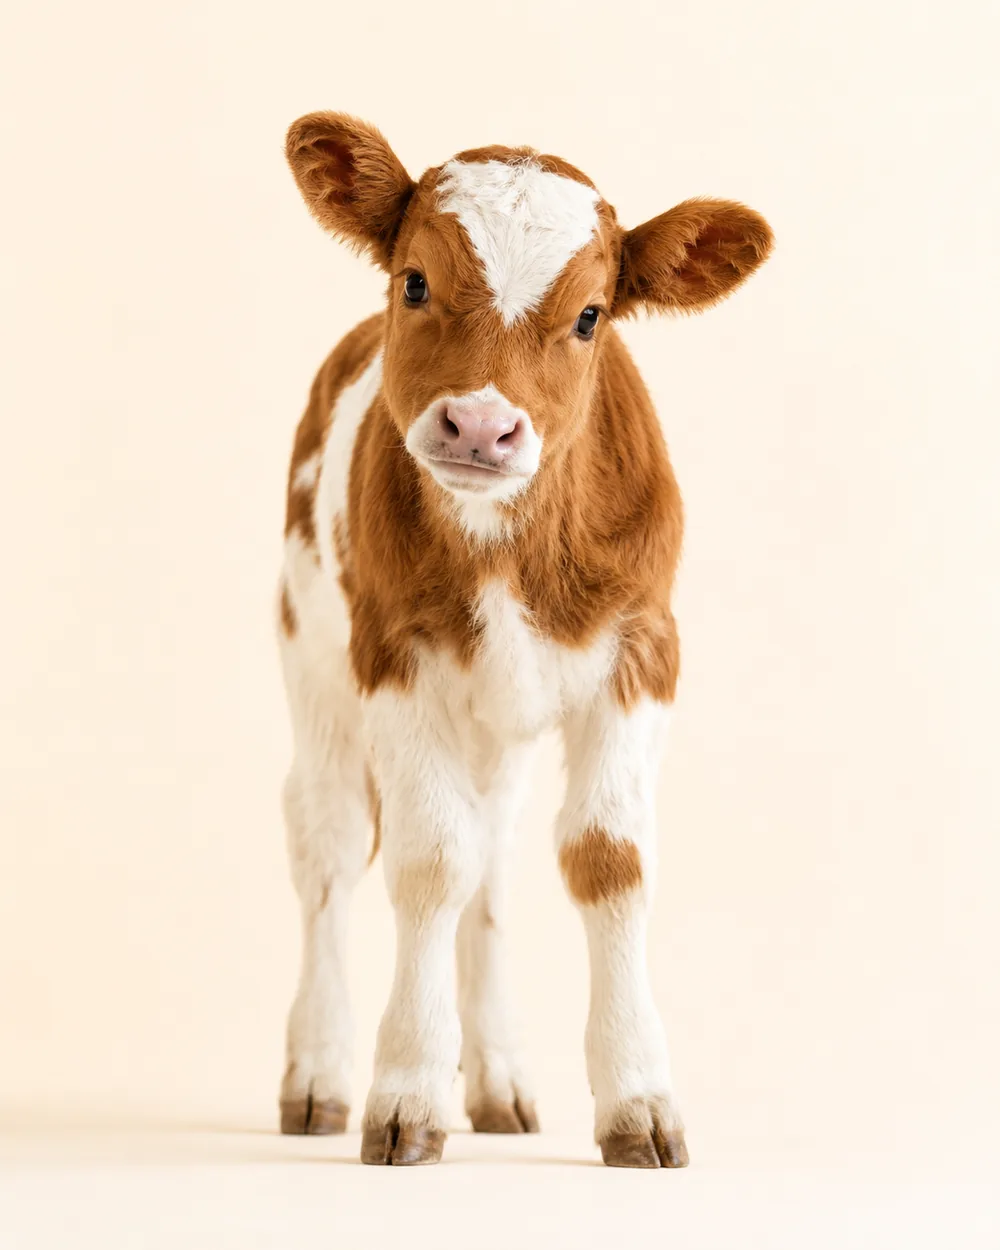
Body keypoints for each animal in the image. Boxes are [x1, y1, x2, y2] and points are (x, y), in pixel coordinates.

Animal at [276, 112, 772, 1167]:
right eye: (415, 281)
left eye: (590, 315)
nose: (479, 423)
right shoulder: (396, 657)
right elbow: (428, 860)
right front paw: (406, 1093)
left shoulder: (645, 650)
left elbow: (607, 858)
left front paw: (637, 1100)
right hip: (310, 651)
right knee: (330, 844)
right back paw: (317, 1075)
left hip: (494, 722)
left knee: (493, 855)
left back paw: (499, 1078)